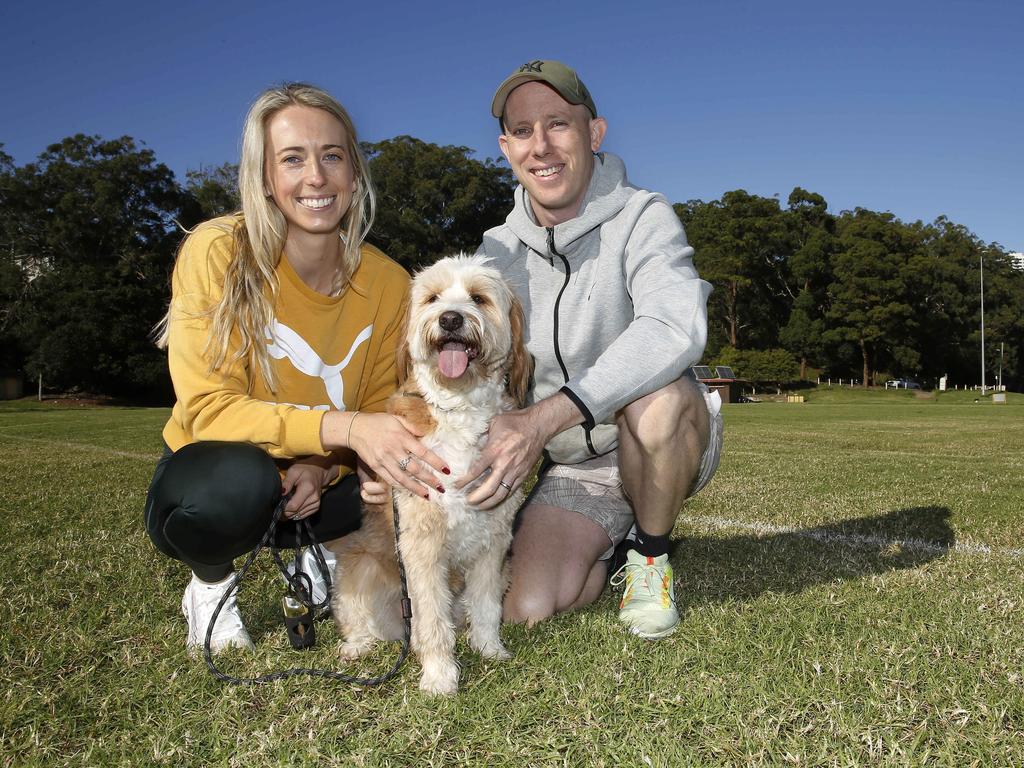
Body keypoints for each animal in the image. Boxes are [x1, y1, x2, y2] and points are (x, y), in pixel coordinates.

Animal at [329, 253, 532, 696]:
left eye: (478, 298)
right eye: (433, 298)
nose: (451, 319)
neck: (459, 409)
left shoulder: (494, 542)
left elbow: (486, 605)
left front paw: (489, 649)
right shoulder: (422, 545)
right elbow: (433, 619)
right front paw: (440, 676)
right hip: (360, 573)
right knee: (365, 622)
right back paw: (358, 646)